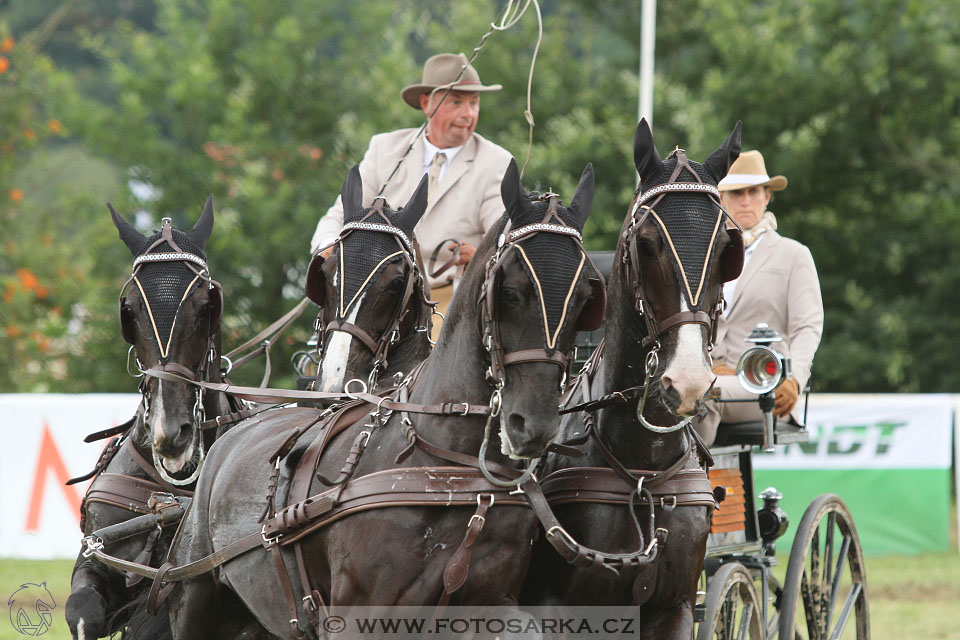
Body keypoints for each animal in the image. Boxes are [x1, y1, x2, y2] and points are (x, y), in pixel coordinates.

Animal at [163, 158, 600, 636]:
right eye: (508, 289)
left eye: (586, 298)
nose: (532, 424)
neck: (447, 465)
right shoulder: (357, 612)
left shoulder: (493, 602)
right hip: (195, 598)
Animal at [520, 121, 748, 640]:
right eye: (646, 244)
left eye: (728, 248)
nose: (687, 381)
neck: (642, 471)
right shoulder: (551, 609)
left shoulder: (675, 608)